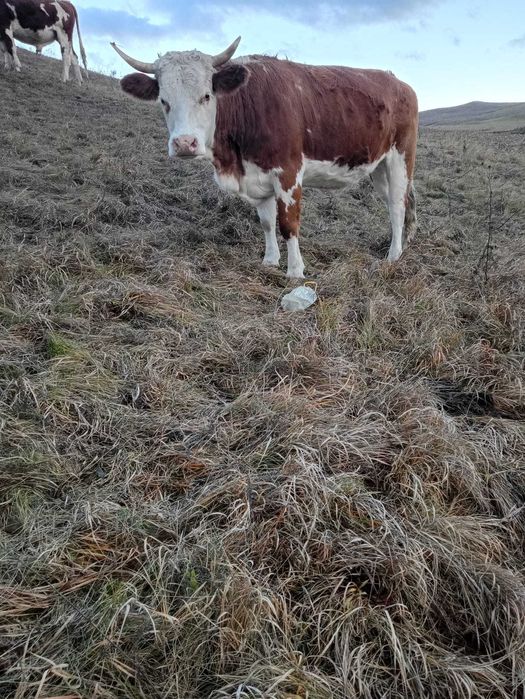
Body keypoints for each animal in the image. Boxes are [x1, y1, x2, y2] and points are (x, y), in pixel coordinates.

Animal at [111, 38, 418, 278]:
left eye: (207, 96)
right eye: (163, 100)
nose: (184, 143)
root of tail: (399, 82)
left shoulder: (289, 172)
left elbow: (288, 224)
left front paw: (295, 270)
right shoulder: (257, 175)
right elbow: (267, 222)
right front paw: (270, 261)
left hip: (400, 158)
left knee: (396, 205)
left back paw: (393, 255)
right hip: (378, 166)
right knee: (402, 202)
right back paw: (404, 243)